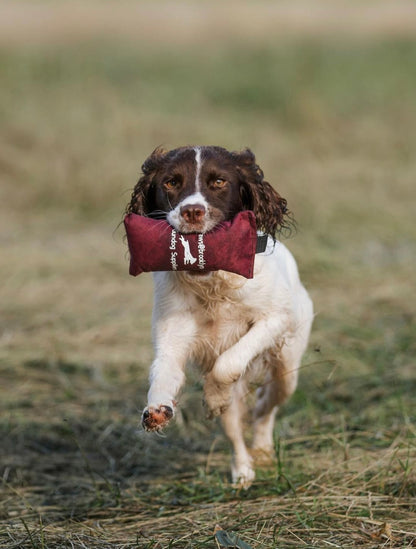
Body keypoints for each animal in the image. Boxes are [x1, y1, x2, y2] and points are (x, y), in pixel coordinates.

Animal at [125, 144, 314, 484]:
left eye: (219, 182)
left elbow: (228, 363)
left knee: (265, 407)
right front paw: (157, 410)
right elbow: (163, 375)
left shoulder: (274, 319)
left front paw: (213, 396)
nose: (192, 211)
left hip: (287, 366)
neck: (212, 285)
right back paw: (243, 471)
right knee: (234, 428)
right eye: (171, 182)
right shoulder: (172, 340)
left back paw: (262, 450)